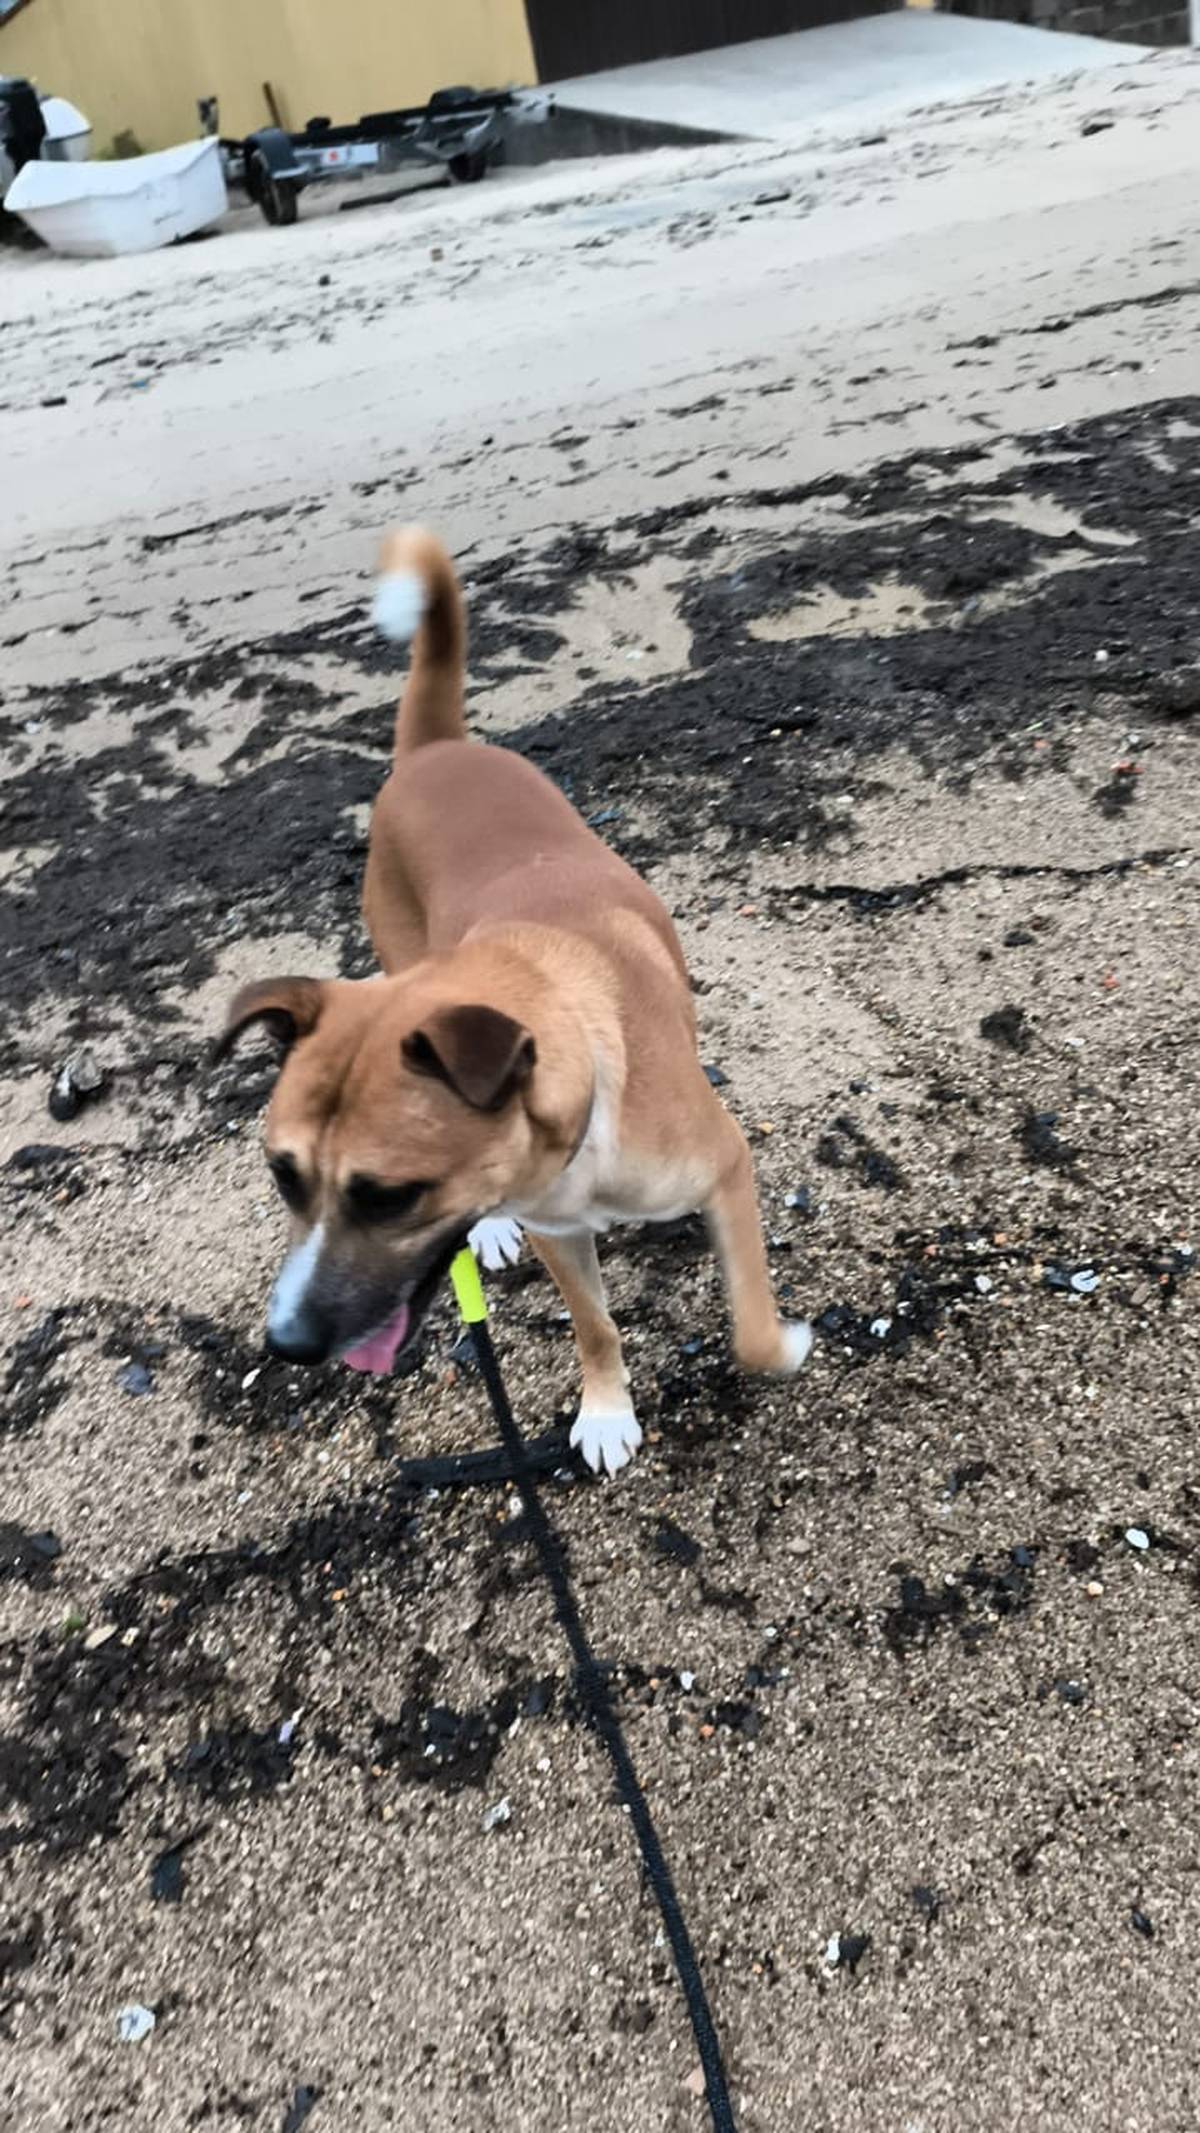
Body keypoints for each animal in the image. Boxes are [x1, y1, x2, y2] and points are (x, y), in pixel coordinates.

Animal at [216, 529, 811, 1474]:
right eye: (283, 1175)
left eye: (389, 1196)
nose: (288, 1343)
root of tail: (434, 750)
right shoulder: (559, 1228)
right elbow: (595, 1325)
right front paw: (605, 1410)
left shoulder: (725, 1164)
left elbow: (751, 1332)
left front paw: (782, 1343)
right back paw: (491, 1231)